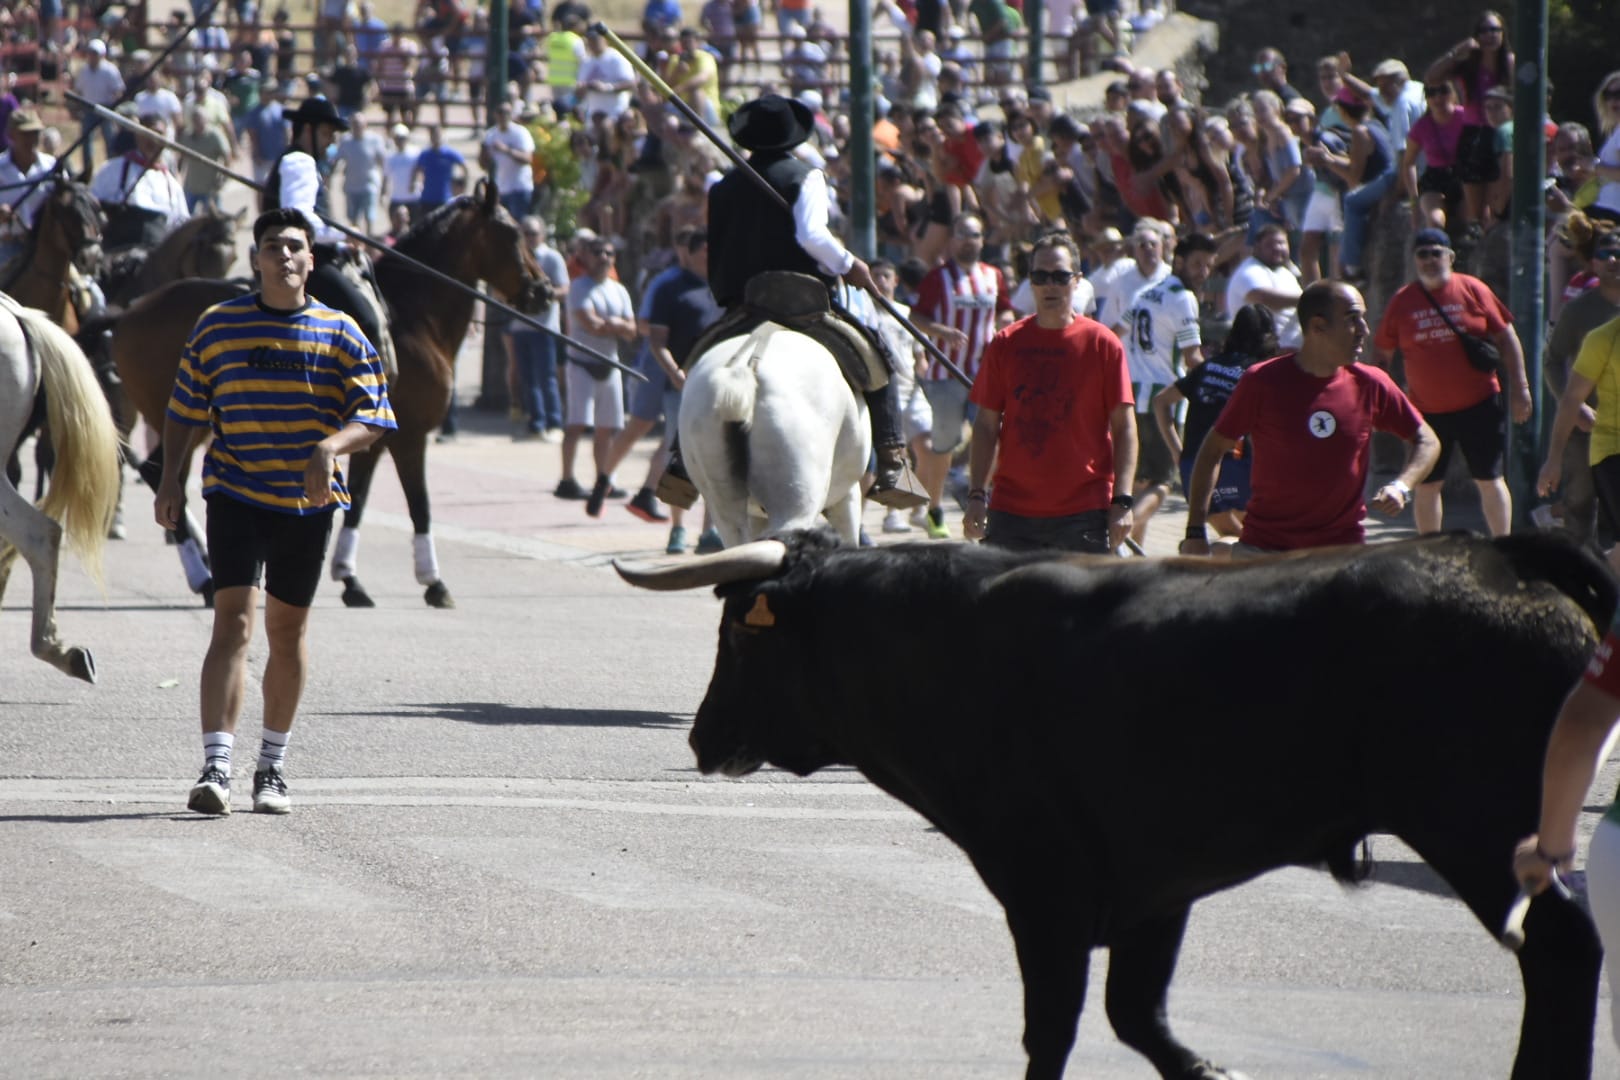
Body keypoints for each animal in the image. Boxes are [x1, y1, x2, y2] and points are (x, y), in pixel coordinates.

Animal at [98, 181, 550, 612]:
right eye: (513, 234)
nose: (544, 290)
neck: (414, 318)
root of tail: (129, 313)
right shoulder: (410, 437)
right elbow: (420, 505)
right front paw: (433, 583)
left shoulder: (372, 439)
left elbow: (359, 502)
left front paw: (350, 579)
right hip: (186, 423)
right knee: (163, 475)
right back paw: (205, 577)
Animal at [615, 531, 1620, 1080]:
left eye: (737, 636)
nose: (702, 738)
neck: (943, 642)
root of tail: (1495, 555)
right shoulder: (1155, 880)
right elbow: (1137, 1013)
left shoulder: (1043, 886)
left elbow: (1053, 1029)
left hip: (1480, 825)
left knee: (1562, 955)